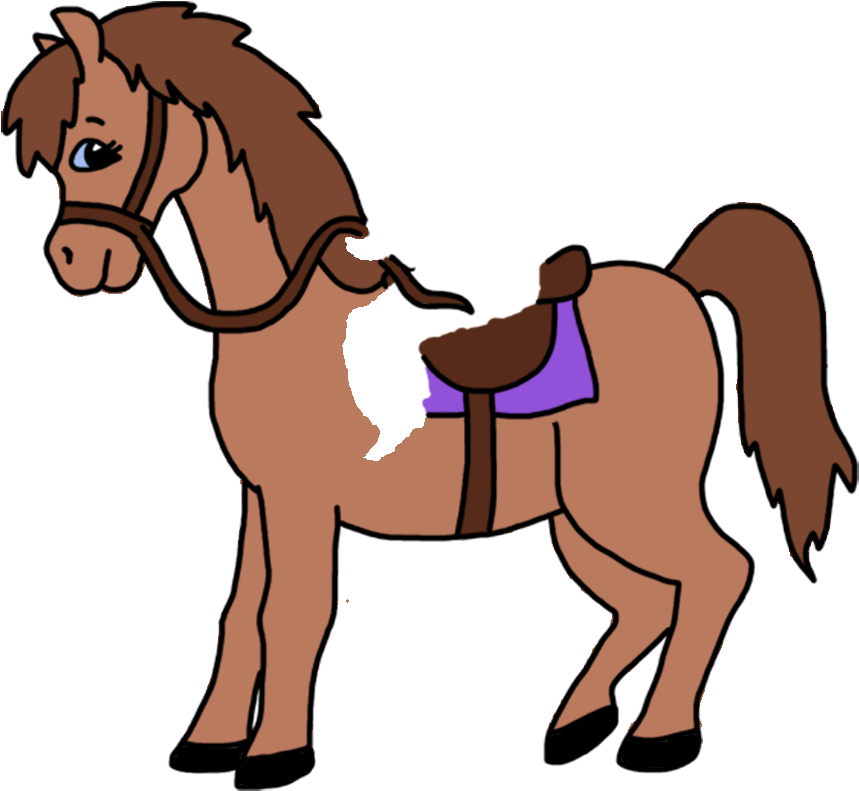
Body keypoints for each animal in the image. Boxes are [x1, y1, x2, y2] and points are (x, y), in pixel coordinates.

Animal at [3, 6, 851, 762]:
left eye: (95, 149)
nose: (75, 260)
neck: (290, 316)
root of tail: (679, 285)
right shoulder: (262, 496)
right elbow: (243, 613)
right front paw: (211, 735)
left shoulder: (303, 499)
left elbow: (292, 614)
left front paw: (275, 744)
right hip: (580, 517)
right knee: (646, 601)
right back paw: (572, 714)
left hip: (628, 500)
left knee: (714, 573)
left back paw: (660, 725)